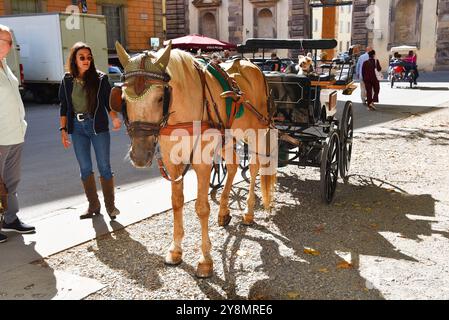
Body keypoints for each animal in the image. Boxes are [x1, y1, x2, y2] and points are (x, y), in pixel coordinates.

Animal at [110, 40, 274, 278]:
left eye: (160, 97)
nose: (139, 155)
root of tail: (252, 65)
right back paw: (224, 210)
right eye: (122, 98)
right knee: (233, 166)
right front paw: (176, 250)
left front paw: (205, 260)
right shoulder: (172, 162)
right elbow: (176, 202)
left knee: (253, 168)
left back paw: (249, 212)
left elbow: (201, 207)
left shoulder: (203, 163)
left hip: (255, 132)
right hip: (227, 136)